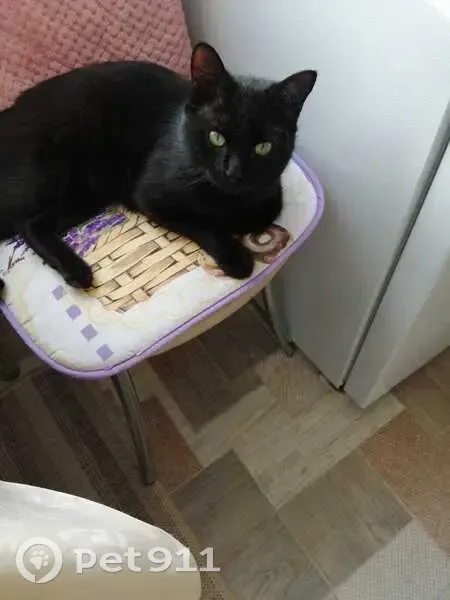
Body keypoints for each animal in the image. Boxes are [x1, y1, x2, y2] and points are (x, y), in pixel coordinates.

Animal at [0, 43, 316, 290]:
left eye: (263, 147)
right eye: (216, 137)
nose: (233, 172)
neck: (224, 199)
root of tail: (11, 111)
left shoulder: (269, 196)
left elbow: (258, 213)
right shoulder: (151, 197)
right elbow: (202, 223)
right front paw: (235, 257)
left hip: (88, 193)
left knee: (31, 225)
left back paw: (75, 271)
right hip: (50, 179)